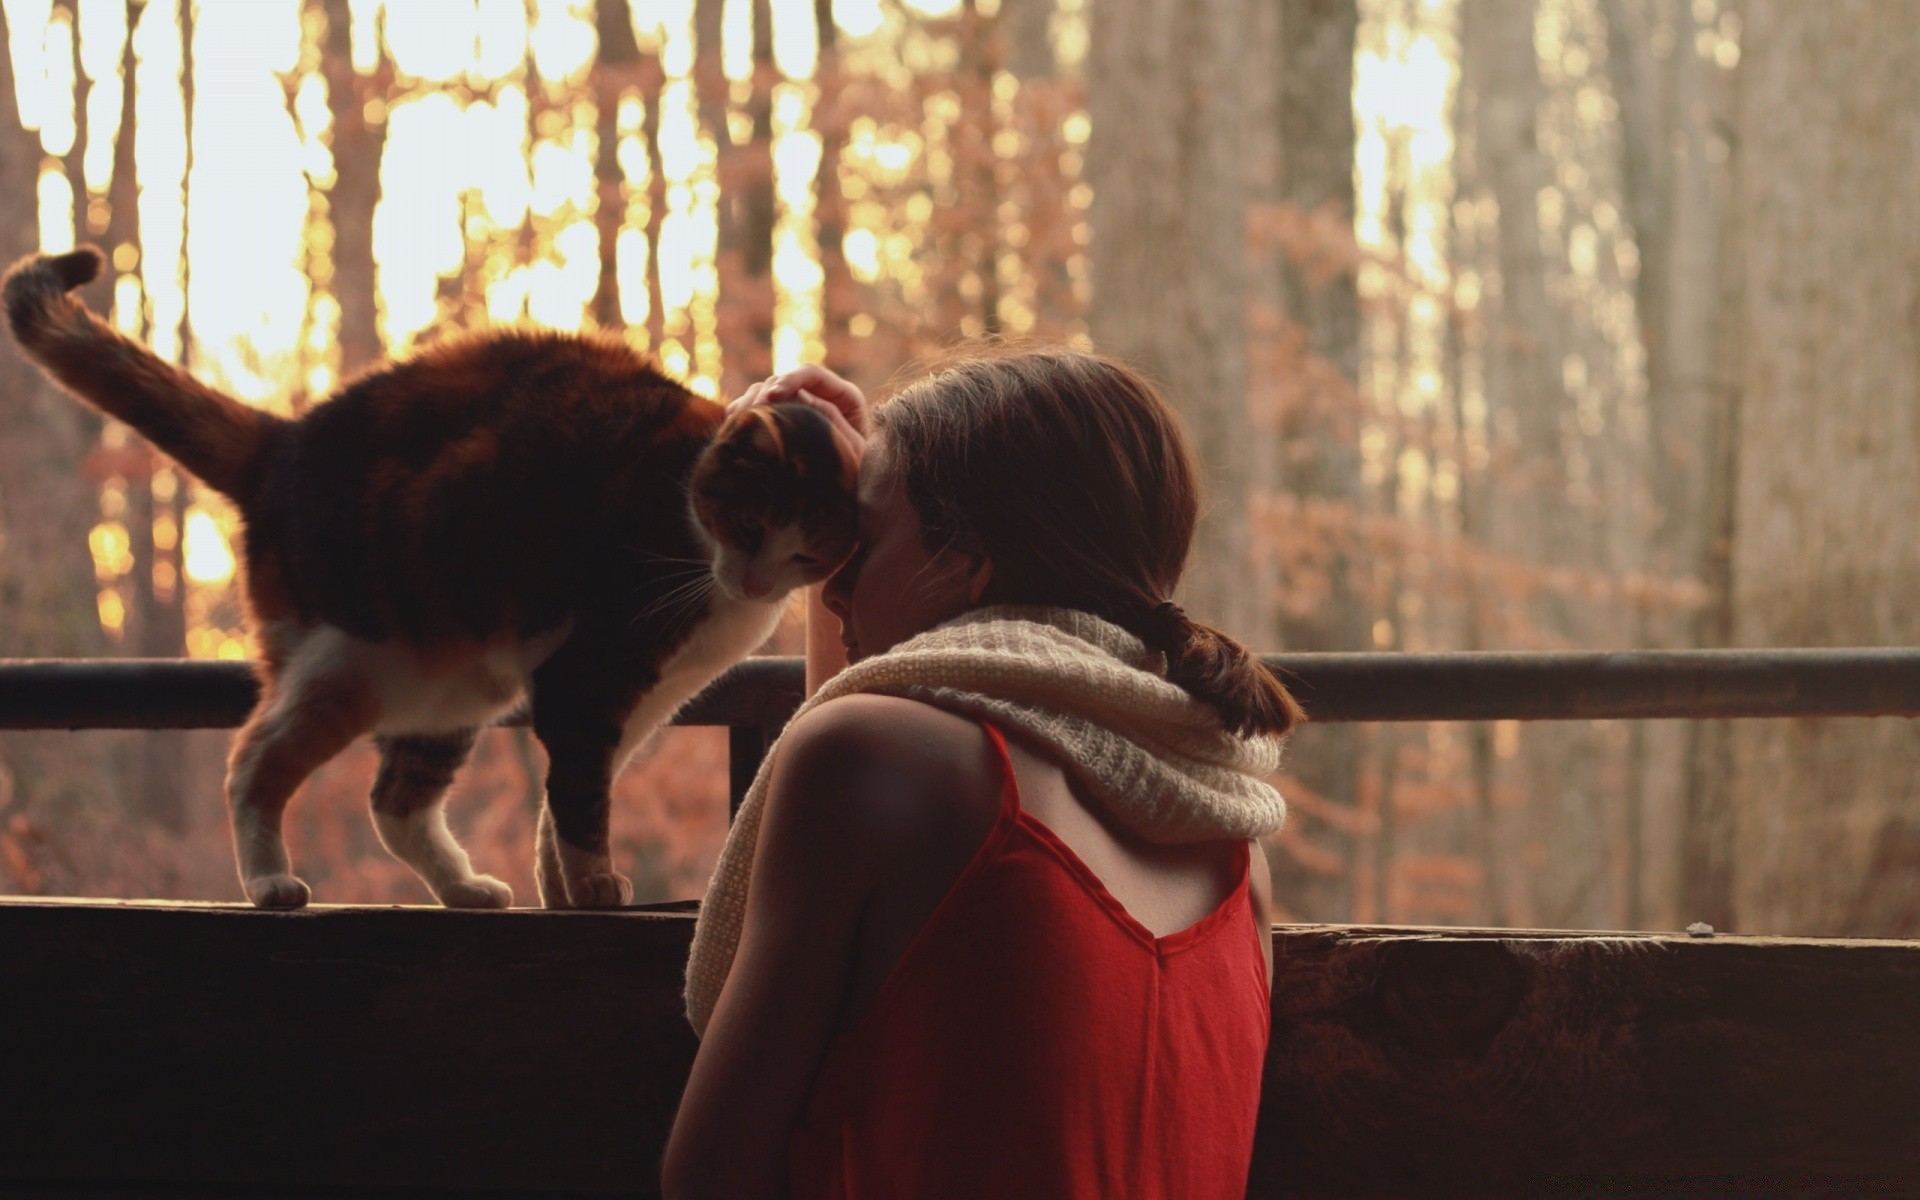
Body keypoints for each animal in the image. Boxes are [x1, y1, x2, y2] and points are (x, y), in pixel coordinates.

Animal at [0, 247, 856, 913]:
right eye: (750, 524)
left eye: (804, 557)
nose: (754, 583)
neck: (690, 535)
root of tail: (283, 443)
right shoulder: (591, 674)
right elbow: (580, 795)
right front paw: (591, 885)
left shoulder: (644, 697)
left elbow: (567, 798)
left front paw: (561, 888)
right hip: (359, 656)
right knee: (253, 758)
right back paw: (271, 881)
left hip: (456, 680)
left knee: (395, 803)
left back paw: (465, 888)